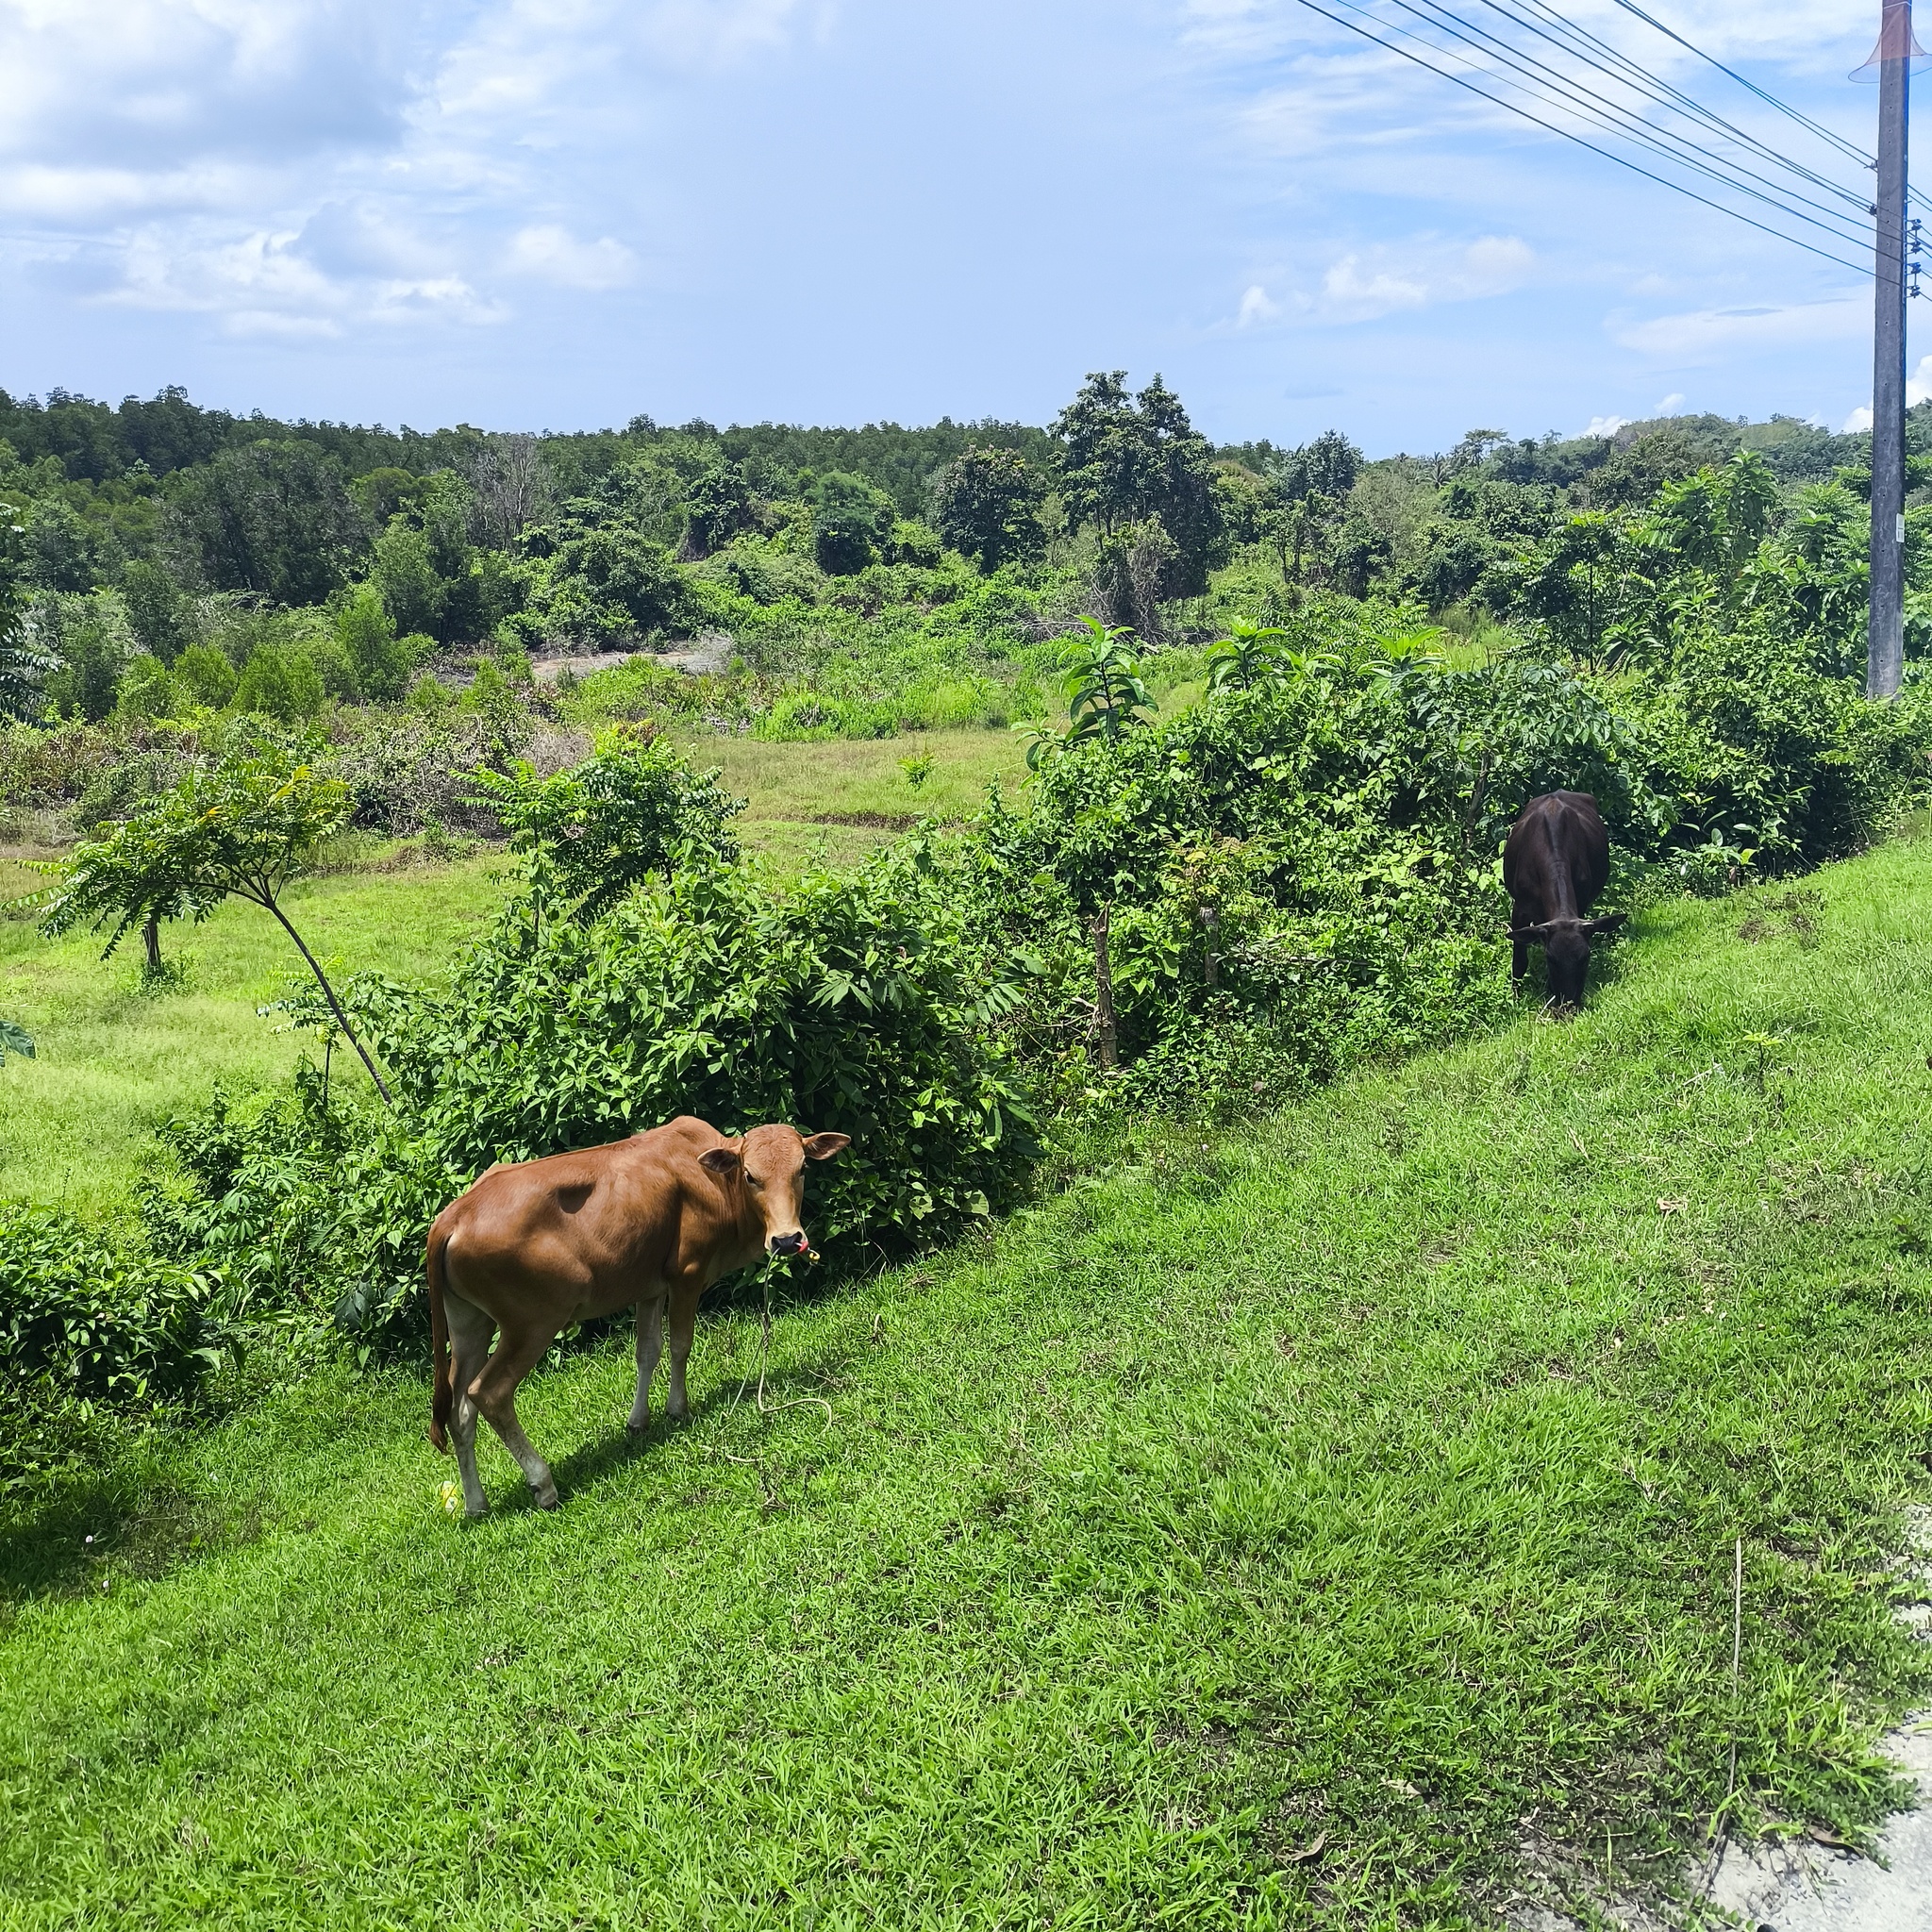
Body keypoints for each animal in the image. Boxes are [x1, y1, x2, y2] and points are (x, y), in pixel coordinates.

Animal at [426, 1128, 850, 1514]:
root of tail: (452, 1216)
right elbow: (680, 1344)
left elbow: (648, 1351)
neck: (714, 1183)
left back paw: (476, 1503)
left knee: (458, 1410)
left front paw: (638, 1420)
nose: (787, 1240)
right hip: (532, 1322)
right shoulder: (687, 1274)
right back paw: (542, 1484)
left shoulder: (649, 1286)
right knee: (488, 1393)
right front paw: (678, 1409)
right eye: (750, 1175)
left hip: (470, 1325)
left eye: (801, 1168)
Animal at [1499, 791, 1623, 1020]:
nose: (1568, 1006)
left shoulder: (1581, 903)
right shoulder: (1520, 909)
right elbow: (1519, 961)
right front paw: (1514, 999)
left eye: (1585, 957)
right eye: (1551, 959)